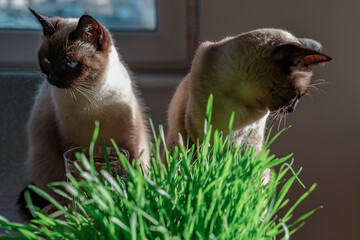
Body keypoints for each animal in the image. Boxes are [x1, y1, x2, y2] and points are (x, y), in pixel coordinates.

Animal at [26, 8, 148, 197]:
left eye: (70, 64)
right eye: (46, 61)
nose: (52, 79)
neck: (90, 98)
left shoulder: (128, 140)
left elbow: (132, 169)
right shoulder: (70, 143)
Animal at [165, 29, 330, 161]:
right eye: (297, 95)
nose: (292, 110)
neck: (240, 99)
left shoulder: (248, 140)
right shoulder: (201, 133)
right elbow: (208, 166)